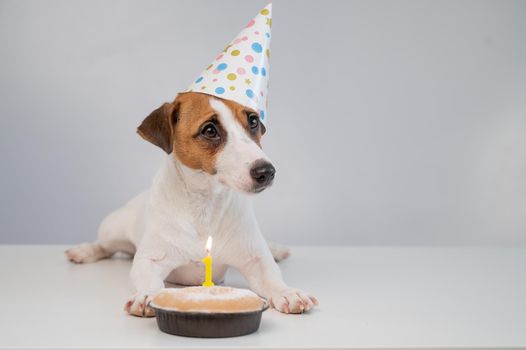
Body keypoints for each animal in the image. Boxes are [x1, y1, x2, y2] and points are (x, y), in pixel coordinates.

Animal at [65, 93, 318, 318]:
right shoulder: (150, 260)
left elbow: (271, 275)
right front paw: (147, 295)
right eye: (210, 130)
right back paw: (84, 250)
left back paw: (276, 249)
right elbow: (147, 277)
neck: (205, 205)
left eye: (253, 121)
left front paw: (287, 292)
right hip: (112, 229)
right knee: (104, 245)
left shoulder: (256, 260)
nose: (266, 171)